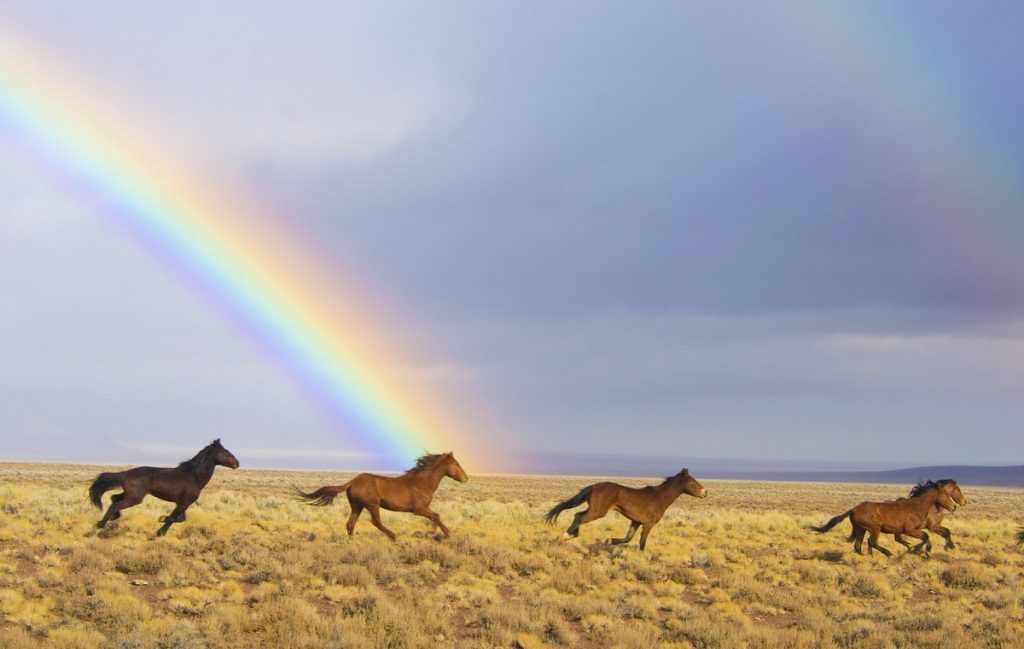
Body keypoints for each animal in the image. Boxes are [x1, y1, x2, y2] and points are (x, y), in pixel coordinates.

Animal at [88, 440, 239, 536]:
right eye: (225, 452)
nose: (237, 463)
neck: (194, 476)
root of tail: (127, 473)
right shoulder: (183, 503)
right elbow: (173, 518)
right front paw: (160, 531)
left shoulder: (182, 503)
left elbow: (180, 519)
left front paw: (161, 519)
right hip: (135, 498)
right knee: (115, 504)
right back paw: (101, 524)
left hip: (130, 494)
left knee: (114, 498)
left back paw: (111, 518)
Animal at [296, 446, 468, 536]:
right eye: (457, 464)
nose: (466, 478)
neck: (422, 482)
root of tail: (353, 482)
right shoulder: (418, 509)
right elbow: (436, 516)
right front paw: (445, 533)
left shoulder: (423, 509)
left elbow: (435, 517)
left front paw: (432, 533)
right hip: (372, 505)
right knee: (375, 521)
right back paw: (393, 536)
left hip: (357, 506)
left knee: (350, 523)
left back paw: (352, 541)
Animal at [544, 466, 704, 548]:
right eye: (693, 482)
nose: (705, 492)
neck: (660, 497)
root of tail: (594, 486)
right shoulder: (648, 524)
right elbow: (642, 543)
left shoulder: (636, 521)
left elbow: (627, 538)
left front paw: (610, 541)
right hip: (598, 512)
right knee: (579, 517)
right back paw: (565, 535)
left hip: (594, 510)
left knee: (577, 515)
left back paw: (572, 535)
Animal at [806, 481, 958, 556]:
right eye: (946, 494)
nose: (954, 507)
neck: (917, 506)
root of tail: (853, 509)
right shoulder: (910, 530)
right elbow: (925, 536)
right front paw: (918, 549)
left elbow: (925, 536)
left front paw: (918, 549)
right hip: (875, 528)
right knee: (871, 542)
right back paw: (887, 553)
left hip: (861, 529)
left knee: (858, 545)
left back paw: (868, 556)